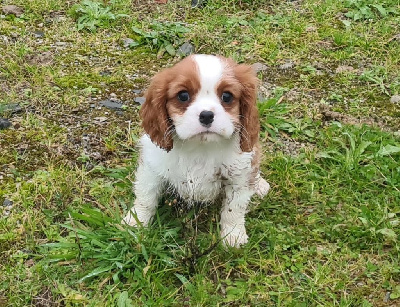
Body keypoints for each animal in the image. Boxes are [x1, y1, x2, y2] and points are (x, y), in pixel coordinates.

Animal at [123, 54, 270, 248]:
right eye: (183, 95)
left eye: (227, 96)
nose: (206, 115)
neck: (201, 147)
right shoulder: (152, 167)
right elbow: (145, 197)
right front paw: (136, 222)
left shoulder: (239, 176)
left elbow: (234, 209)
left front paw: (233, 236)